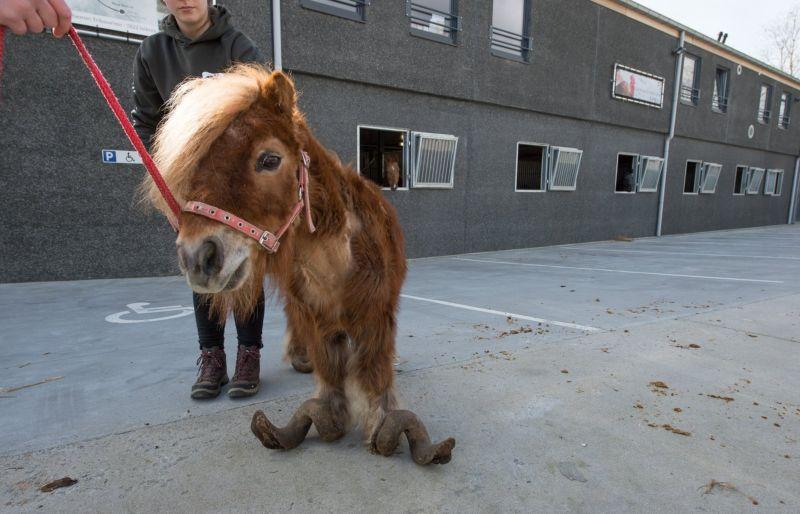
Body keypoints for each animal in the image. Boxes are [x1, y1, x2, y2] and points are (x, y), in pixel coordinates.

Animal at [144, 64, 454, 464]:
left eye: (269, 159)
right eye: (196, 163)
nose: (198, 257)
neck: (337, 263)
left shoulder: (375, 317)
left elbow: (374, 372)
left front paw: (380, 425)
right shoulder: (316, 318)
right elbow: (329, 376)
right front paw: (329, 413)